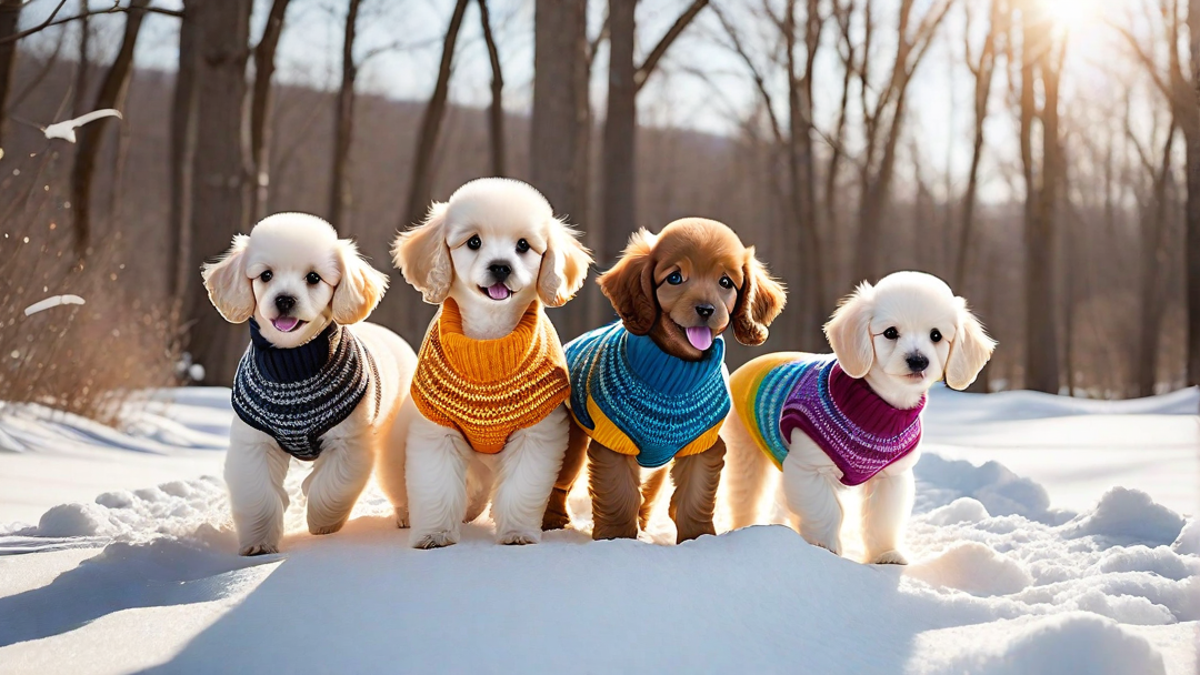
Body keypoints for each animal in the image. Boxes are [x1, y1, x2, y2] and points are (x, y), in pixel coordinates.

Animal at [202, 212, 417, 554]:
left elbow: (331, 487)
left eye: (314, 278)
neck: (293, 365)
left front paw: (321, 524)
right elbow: (258, 495)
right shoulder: (255, 443)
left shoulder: (349, 443)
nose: (284, 299)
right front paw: (259, 543)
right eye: (265, 275)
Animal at [376, 176, 592, 542]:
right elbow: (436, 487)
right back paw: (409, 516)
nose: (501, 266)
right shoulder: (437, 429)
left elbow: (521, 488)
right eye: (474, 242)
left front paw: (517, 532)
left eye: (523, 246)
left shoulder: (536, 432)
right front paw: (434, 535)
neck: (490, 337)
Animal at [544, 218, 787, 542]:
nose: (706, 309)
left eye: (725, 283)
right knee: (559, 481)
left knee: (648, 494)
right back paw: (552, 523)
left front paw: (698, 539)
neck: (674, 369)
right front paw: (617, 539)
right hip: (572, 443)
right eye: (675, 278)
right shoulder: (614, 443)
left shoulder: (702, 446)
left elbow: (694, 498)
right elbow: (620, 496)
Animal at [720, 270, 993, 559]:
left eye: (936, 336)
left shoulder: (891, 478)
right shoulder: (809, 468)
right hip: (746, 455)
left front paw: (886, 555)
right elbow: (826, 511)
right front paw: (824, 549)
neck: (877, 407)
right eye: (890, 332)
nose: (918, 361)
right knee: (746, 498)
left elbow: (882, 520)